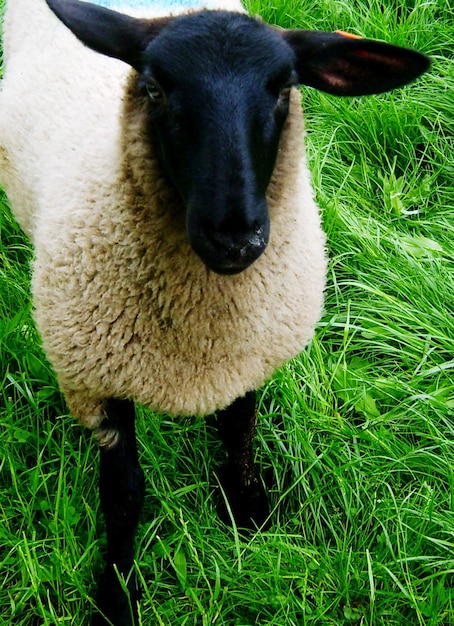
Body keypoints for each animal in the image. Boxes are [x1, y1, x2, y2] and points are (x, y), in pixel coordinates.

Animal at [0, 0, 430, 620]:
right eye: (153, 88)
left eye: (283, 88)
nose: (234, 237)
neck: (202, 338)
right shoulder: (97, 381)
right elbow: (125, 494)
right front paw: (116, 592)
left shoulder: (249, 354)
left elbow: (239, 432)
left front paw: (248, 511)